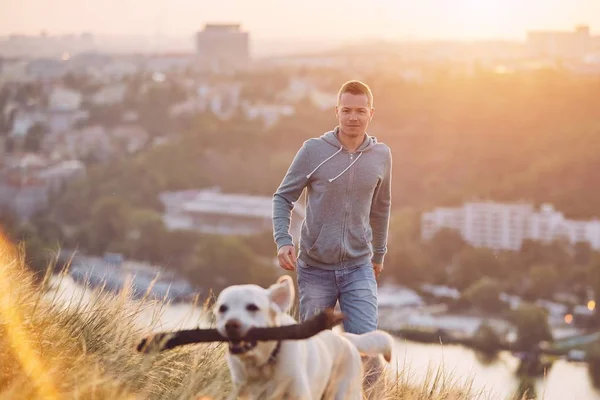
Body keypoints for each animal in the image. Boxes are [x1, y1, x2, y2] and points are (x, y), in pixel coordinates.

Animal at [213, 276, 396, 400]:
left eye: (252, 307)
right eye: (222, 308)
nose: (231, 324)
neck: (263, 364)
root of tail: (346, 339)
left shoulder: (300, 393)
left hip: (344, 393)